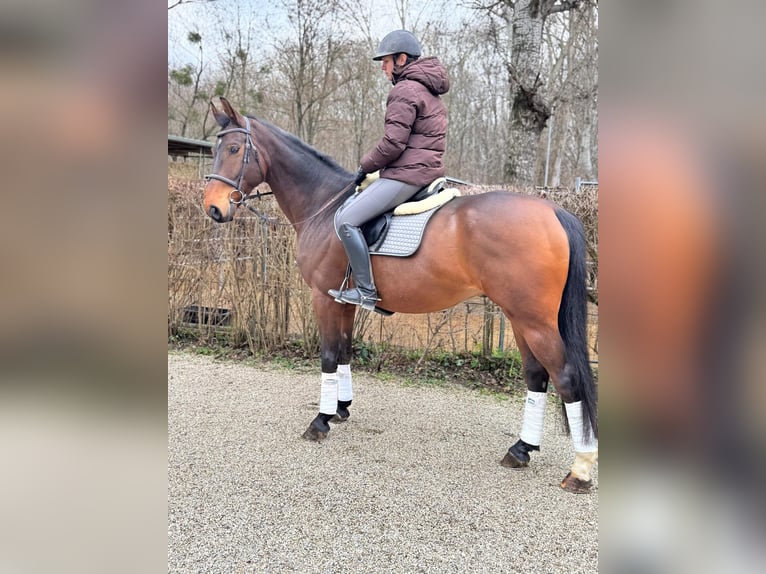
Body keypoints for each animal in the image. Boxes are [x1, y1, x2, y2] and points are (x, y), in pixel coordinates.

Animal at [202, 97, 600, 492]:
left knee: (566, 378)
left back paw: (579, 470)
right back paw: (521, 449)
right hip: (519, 318)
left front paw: (320, 420)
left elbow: (329, 355)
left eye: (234, 149)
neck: (325, 205)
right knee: (536, 376)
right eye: (215, 149)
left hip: (534, 321)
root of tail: (554, 210)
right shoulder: (344, 301)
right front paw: (341, 408)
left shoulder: (323, 297)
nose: (213, 208)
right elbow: (345, 351)